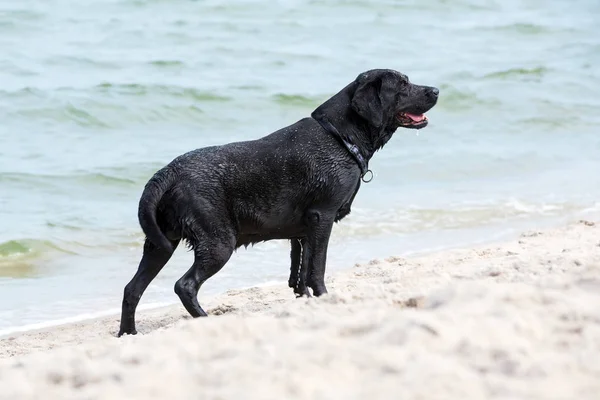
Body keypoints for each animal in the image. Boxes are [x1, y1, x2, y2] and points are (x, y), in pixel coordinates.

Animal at [118, 69, 436, 338]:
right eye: (403, 85)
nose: (435, 90)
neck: (340, 137)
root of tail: (168, 172)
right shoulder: (322, 218)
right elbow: (316, 269)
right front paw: (324, 298)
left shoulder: (304, 231)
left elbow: (301, 272)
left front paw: (306, 300)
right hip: (217, 243)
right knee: (184, 286)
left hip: (159, 244)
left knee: (132, 289)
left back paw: (127, 334)